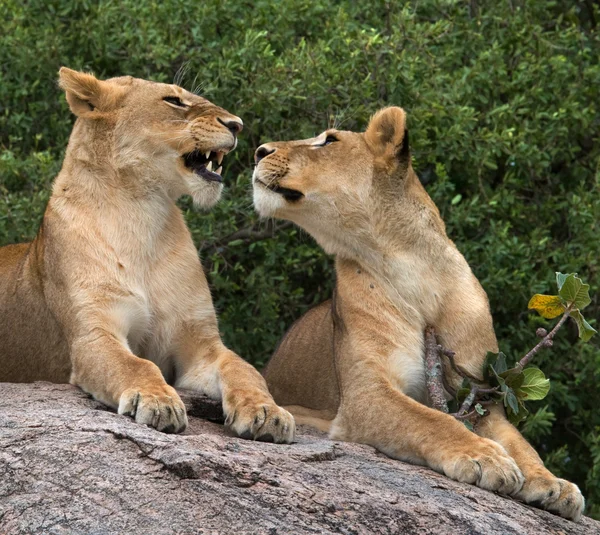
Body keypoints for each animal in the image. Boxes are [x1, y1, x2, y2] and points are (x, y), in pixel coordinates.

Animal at [0, 67, 292, 444]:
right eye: (173, 100)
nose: (237, 124)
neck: (142, 212)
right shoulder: (92, 335)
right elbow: (135, 364)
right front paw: (157, 401)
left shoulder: (199, 345)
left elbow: (244, 368)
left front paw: (267, 412)